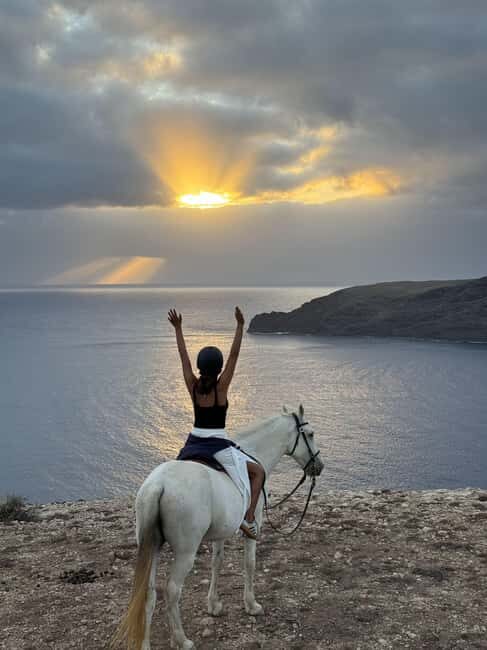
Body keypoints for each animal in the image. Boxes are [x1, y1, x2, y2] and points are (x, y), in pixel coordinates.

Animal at [110, 404, 323, 650]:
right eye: (310, 434)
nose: (319, 466)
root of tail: (158, 485)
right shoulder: (255, 523)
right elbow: (249, 564)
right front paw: (251, 605)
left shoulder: (221, 532)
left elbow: (217, 563)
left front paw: (213, 605)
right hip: (185, 553)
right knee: (172, 591)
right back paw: (182, 639)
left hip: (152, 547)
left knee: (148, 592)